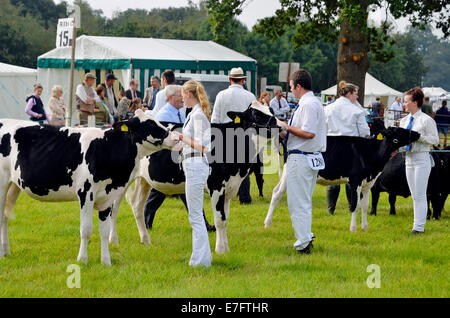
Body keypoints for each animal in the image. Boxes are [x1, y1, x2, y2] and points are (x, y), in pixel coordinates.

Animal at [0, 110, 178, 266]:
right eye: (149, 124)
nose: (176, 137)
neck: (107, 148)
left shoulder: (107, 196)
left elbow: (104, 231)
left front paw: (106, 262)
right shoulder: (86, 193)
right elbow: (86, 229)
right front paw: (82, 260)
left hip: (14, 185)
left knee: (5, 217)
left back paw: (6, 251)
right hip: (2, 184)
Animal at [114, 103, 280, 255]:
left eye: (271, 110)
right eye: (256, 114)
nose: (278, 124)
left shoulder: (230, 188)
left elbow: (225, 219)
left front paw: (226, 249)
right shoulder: (216, 186)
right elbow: (219, 220)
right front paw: (220, 249)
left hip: (143, 181)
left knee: (137, 207)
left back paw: (145, 240)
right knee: (115, 208)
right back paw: (113, 240)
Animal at [262, 125, 420, 232]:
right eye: (400, 130)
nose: (417, 133)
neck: (371, 152)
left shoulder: (368, 183)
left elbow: (365, 205)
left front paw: (365, 227)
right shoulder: (355, 180)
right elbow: (355, 205)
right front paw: (353, 228)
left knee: (278, 191)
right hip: (289, 172)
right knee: (277, 193)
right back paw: (267, 223)